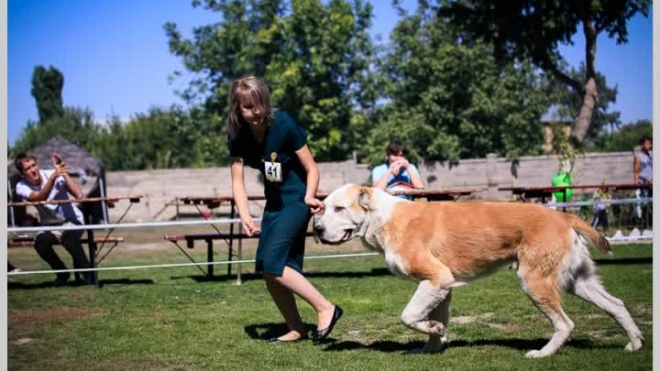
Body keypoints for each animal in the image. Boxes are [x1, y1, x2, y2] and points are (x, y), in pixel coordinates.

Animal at [314, 185, 644, 358]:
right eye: (323, 207)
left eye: (339, 209)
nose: (316, 230)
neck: (383, 219)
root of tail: (564, 217)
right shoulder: (441, 286)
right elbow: (430, 318)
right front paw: (433, 345)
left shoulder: (437, 279)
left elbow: (408, 316)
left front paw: (435, 331)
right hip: (578, 281)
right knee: (616, 305)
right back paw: (635, 343)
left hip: (535, 281)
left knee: (565, 324)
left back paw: (543, 354)